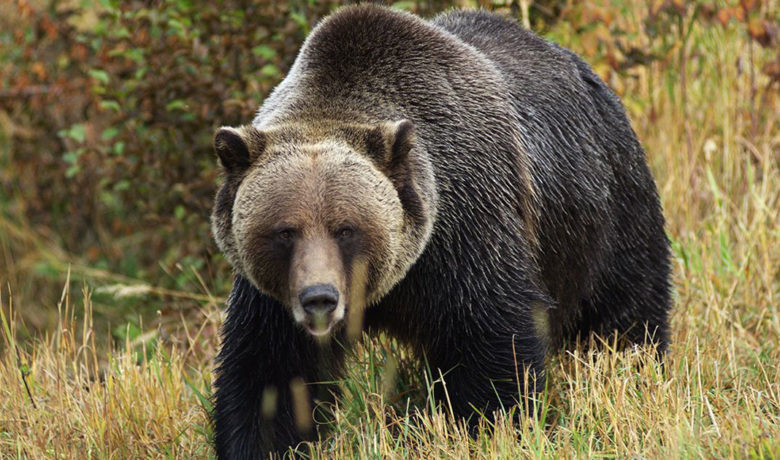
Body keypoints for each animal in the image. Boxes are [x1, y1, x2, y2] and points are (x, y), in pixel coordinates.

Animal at [210, 5, 671, 458]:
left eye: (346, 228)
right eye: (285, 231)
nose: (319, 298)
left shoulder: (467, 230)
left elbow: (492, 344)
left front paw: (490, 426)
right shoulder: (272, 298)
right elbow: (268, 374)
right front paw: (266, 441)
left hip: (604, 214)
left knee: (626, 314)